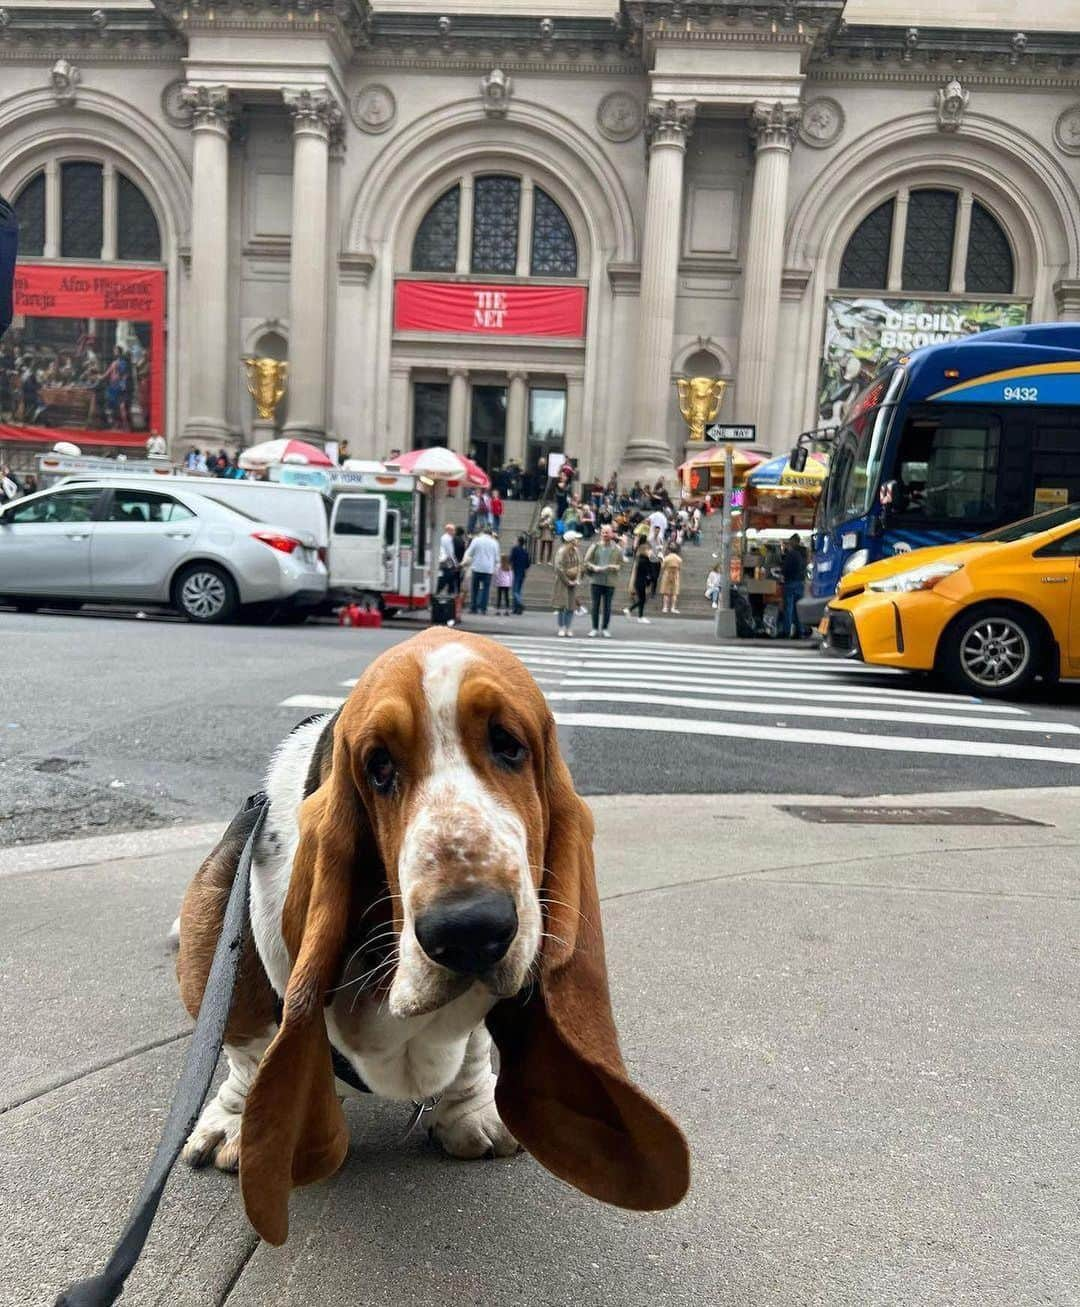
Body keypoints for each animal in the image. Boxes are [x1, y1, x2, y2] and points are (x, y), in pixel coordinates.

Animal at [173, 629, 685, 1244]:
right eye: (378, 767)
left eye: (509, 745)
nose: (469, 930)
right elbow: (251, 1049)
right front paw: (235, 1122)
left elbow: (473, 1048)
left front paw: (471, 1114)